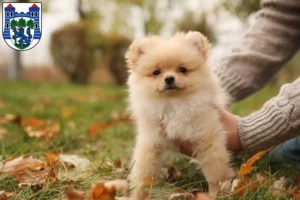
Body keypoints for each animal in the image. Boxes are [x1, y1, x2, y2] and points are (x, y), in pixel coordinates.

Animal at [125, 31, 233, 198]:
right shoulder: (152, 139)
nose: (169, 78)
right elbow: (144, 171)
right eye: (157, 72)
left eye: (182, 70)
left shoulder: (207, 137)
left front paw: (217, 193)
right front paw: (139, 194)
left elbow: (215, 170)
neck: (174, 103)